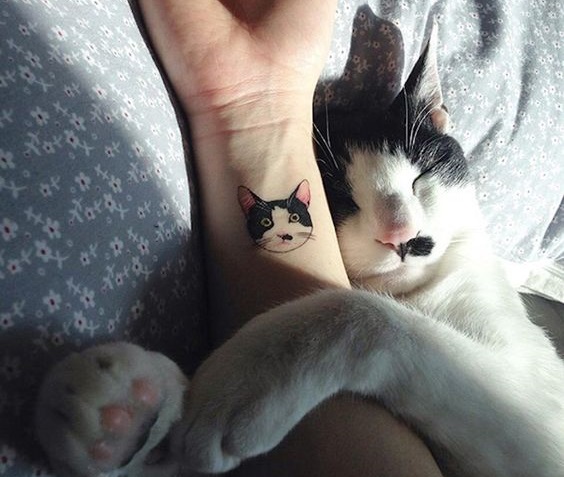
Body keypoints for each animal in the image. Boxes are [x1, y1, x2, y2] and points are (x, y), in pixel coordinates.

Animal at [35, 30, 564, 476]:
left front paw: (241, 379)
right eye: (340, 199)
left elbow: (367, 314)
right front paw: (125, 412)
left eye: (422, 173)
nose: (403, 235)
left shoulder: (538, 408)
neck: (417, 297)